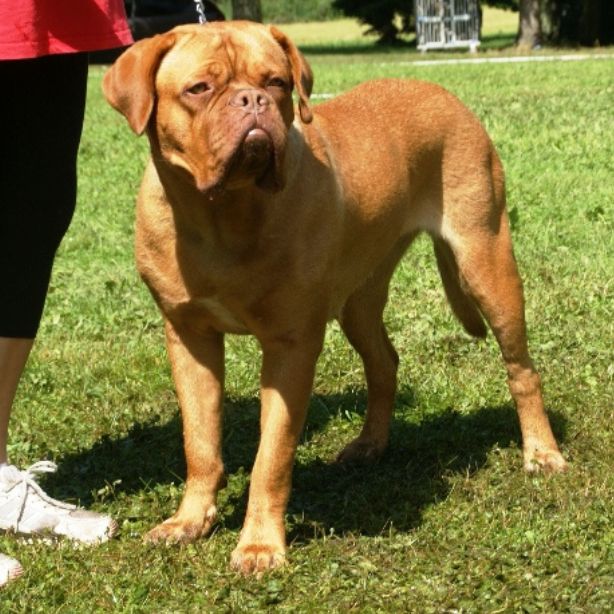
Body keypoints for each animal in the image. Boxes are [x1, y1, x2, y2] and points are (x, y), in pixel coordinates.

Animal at [103, 20, 572, 576]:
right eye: (199, 89)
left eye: (277, 83)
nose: (252, 100)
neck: (223, 216)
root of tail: (442, 93)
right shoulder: (190, 337)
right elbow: (199, 442)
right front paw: (189, 520)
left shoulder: (291, 345)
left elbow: (271, 456)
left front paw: (260, 545)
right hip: (358, 298)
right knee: (384, 361)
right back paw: (370, 443)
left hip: (487, 260)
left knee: (522, 368)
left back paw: (541, 452)